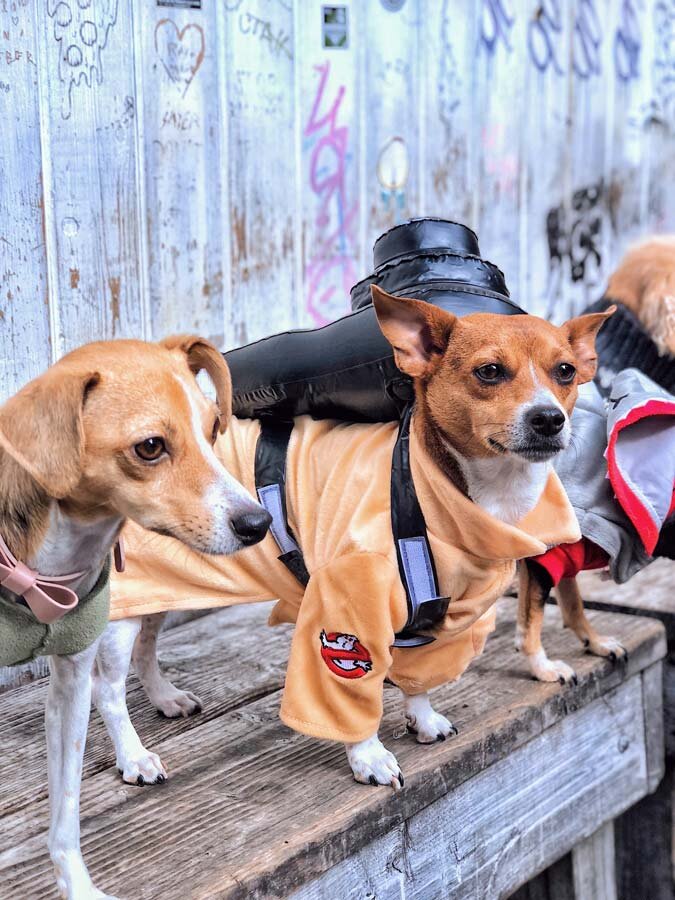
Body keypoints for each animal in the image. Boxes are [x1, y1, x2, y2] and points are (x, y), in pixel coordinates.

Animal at [0, 338, 270, 900]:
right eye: (150, 447)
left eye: (213, 427)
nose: (259, 523)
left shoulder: (69, 684)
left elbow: (65, 814)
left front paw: (77, 886)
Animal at [93, 292, 612, 792]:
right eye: (489, 371)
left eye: (566, 371)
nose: (549, 418)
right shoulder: (348, 611)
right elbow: (351, 696)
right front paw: (370, 757)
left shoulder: (446, 621)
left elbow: (419, 679)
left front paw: (423, 718)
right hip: (125, 606)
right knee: (108, 689)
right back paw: (134, 757)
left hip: (162, 590)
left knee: (145, 649)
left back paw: (166, 698)